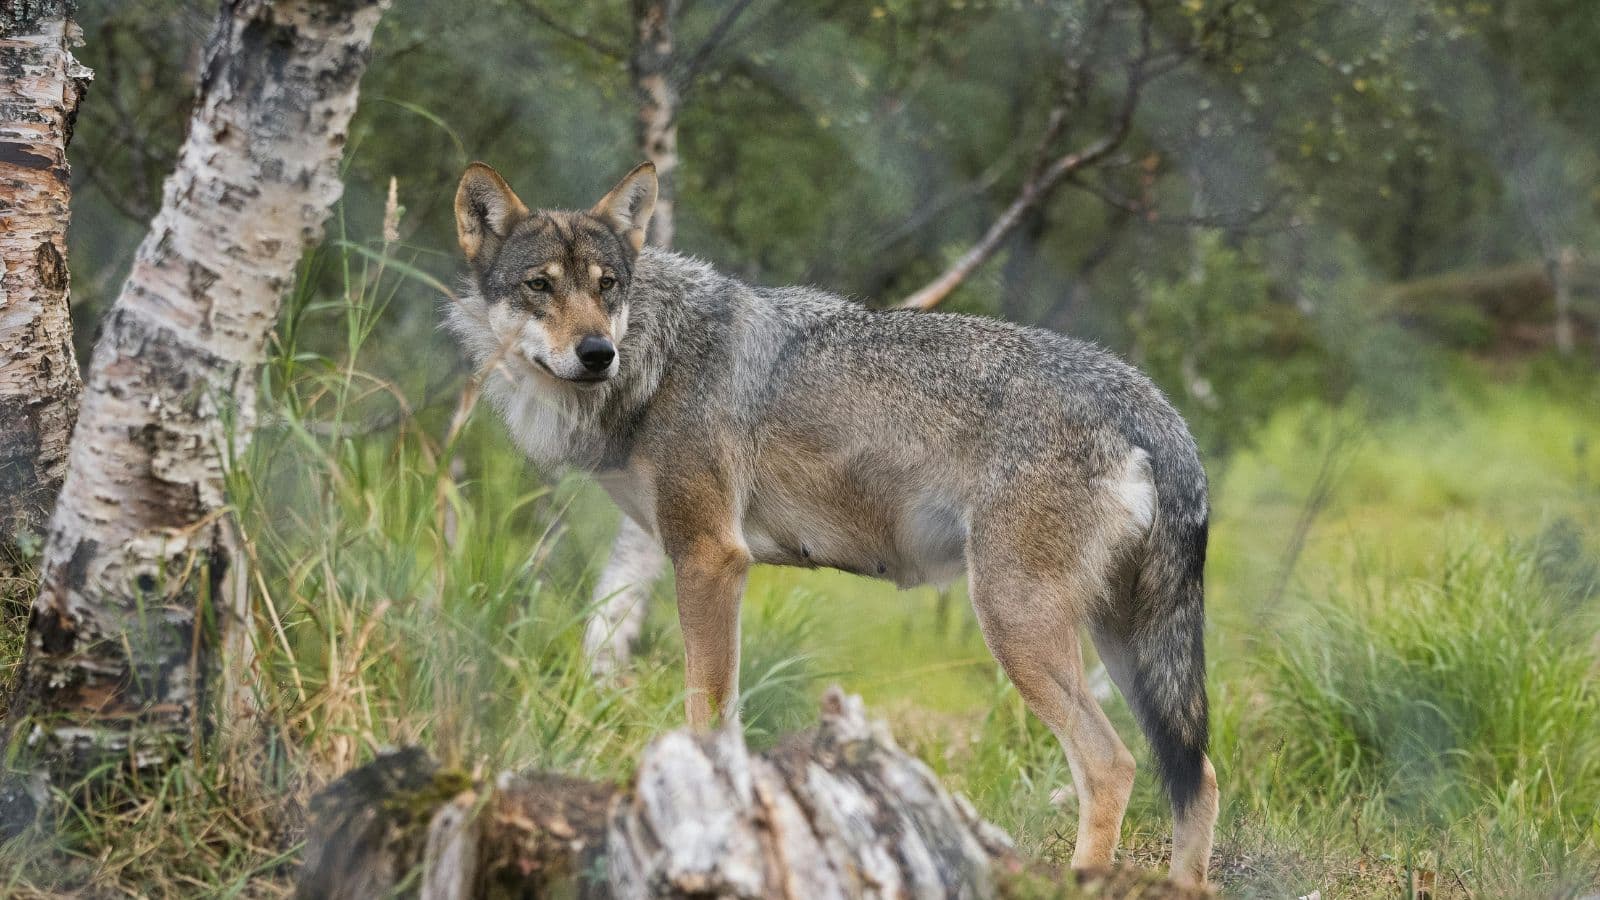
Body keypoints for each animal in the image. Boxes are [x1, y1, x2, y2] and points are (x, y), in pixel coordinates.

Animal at [449, 161, 1219, 885]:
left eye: (607, 286)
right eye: (540, 286)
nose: (595, 353)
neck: (657, 356)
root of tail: (1150, 400)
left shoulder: (709, 557)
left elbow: (709, 719)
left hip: (1018, 622)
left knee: (1112, 764)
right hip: (1120, 643)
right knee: (1200, 775)